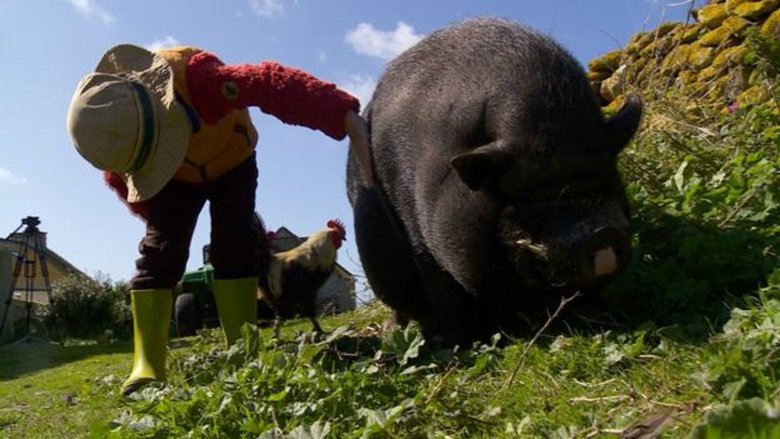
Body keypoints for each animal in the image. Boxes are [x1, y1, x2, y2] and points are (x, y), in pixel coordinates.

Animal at [350, 17, 644, 346]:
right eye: (524, 202)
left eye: (603, 184)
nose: (602, 232)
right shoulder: (418, 228)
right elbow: (440, 285)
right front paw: (457, 343)